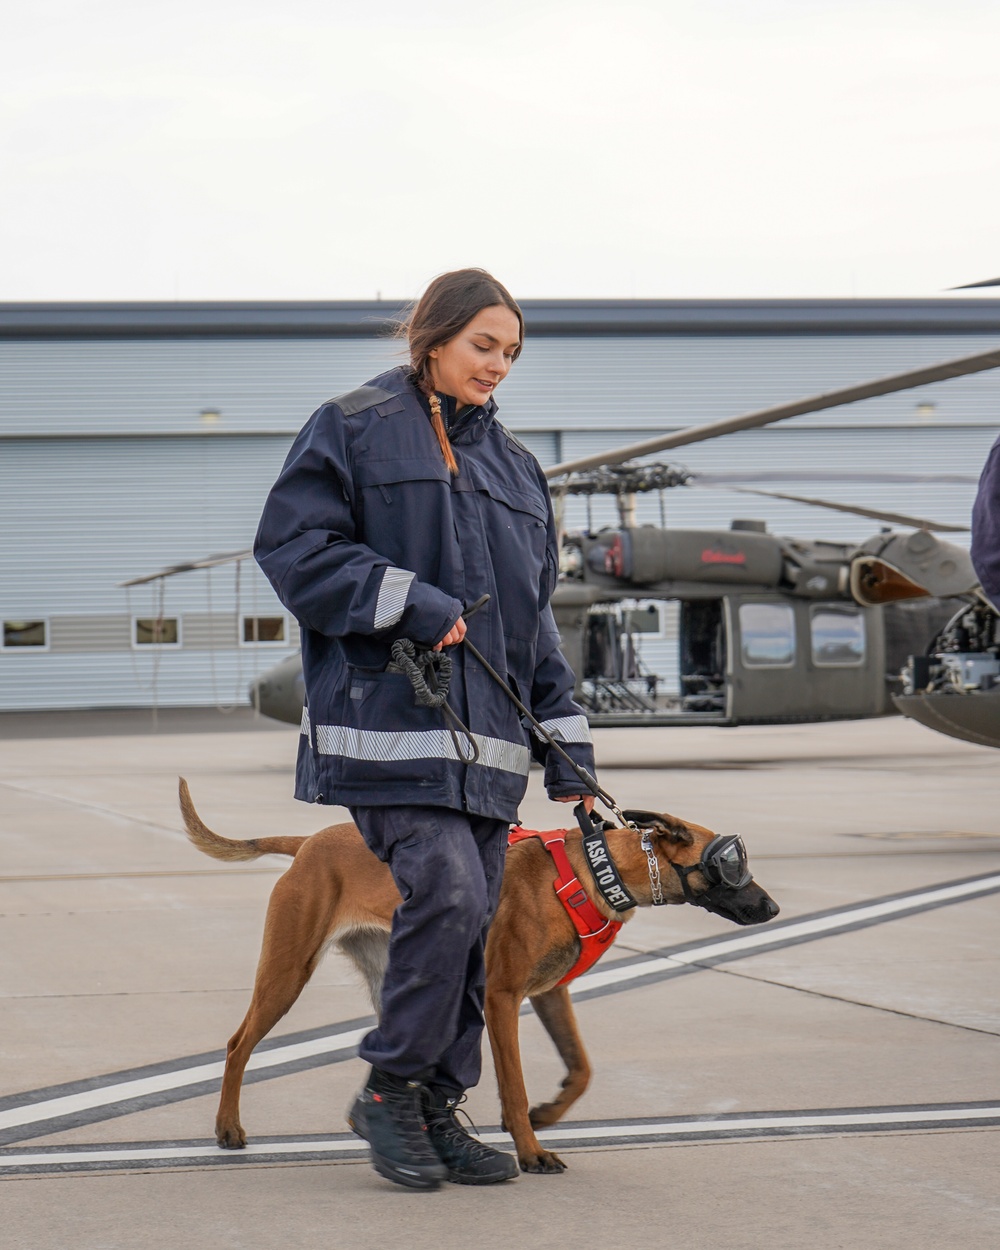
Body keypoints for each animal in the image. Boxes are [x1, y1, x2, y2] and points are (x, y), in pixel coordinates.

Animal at [180, 780, 775, 1170]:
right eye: (732, 865)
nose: (771, 908)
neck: (597, 870)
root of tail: (307, 845)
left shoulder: (553, 996)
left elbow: (581, 1068)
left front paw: (549, 1112)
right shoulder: (502, 999)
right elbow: (513, 1084)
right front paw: (531, 1149)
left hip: (402, 976)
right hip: (287, 974)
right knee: (237, 1044)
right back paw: (228, 1127)